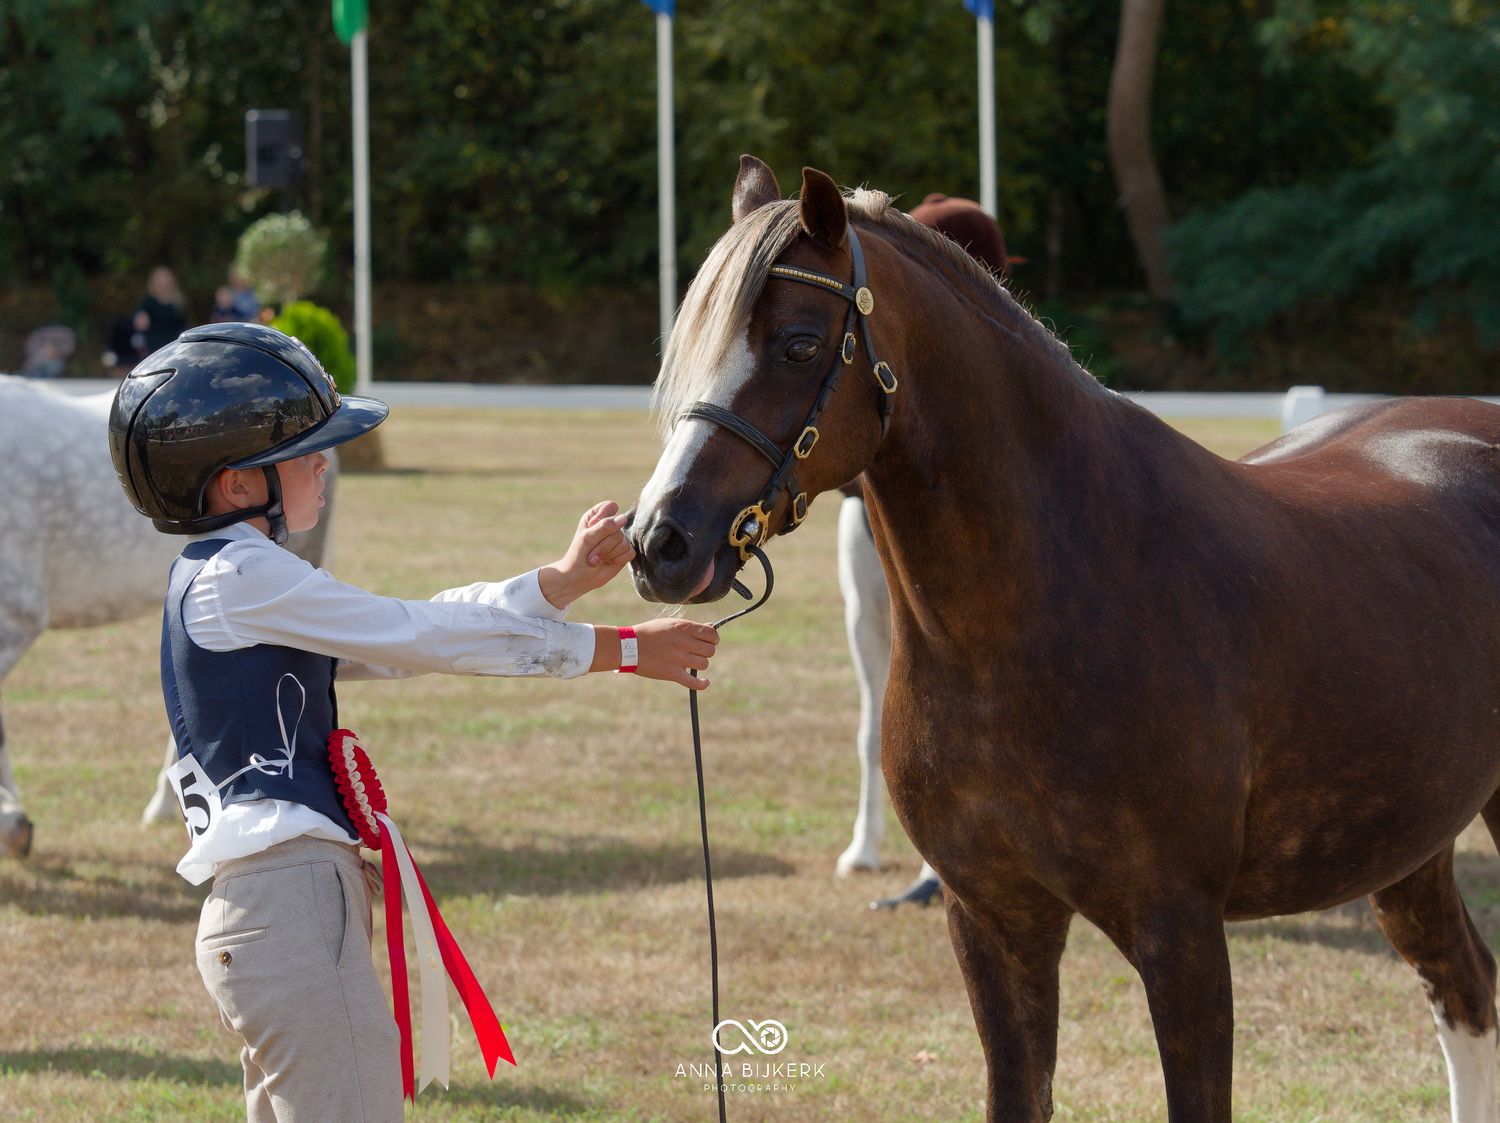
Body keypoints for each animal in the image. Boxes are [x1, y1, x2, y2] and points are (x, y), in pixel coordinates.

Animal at [628, 155, 1500, 1122]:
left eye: (798, 344)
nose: (661, 541)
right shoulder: (994, 918)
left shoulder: (1181, 932)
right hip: (1410, 842)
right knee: (1463, 988)